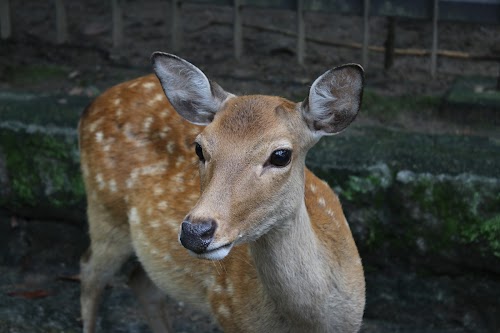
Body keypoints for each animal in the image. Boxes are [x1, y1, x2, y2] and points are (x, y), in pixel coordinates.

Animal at [79, 52, 368, 332]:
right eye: (199, 147)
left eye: (281, 155)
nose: (195, 232)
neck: (306, 323)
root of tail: (93, 104)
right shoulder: (229, 314)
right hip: (105, 211)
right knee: (90, 272)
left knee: (140, 281)